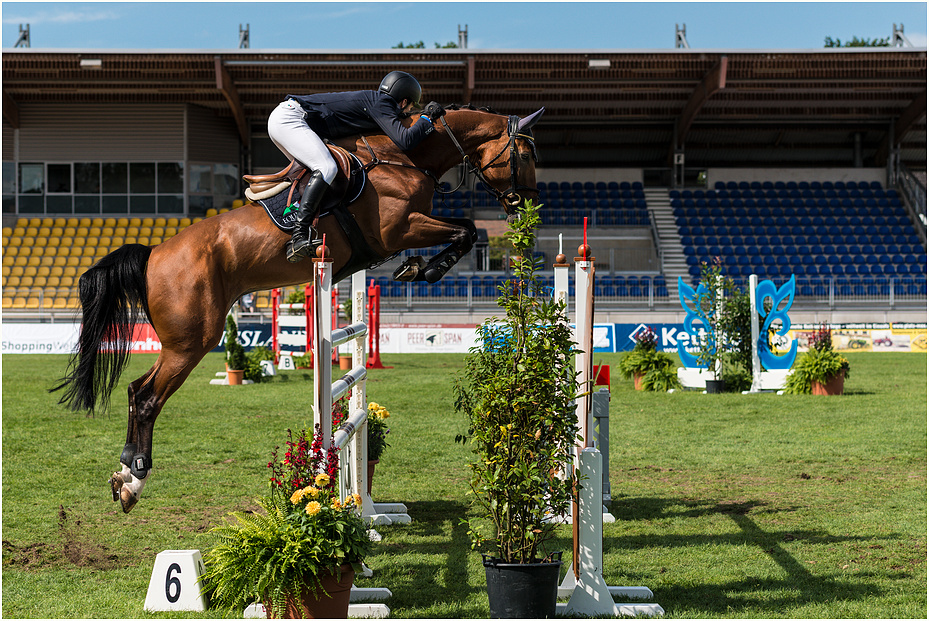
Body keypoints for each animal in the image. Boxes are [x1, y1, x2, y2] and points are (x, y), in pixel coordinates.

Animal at [52, 105, 544, 512]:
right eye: (523, 153)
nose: (525, 206)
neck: (405, 156)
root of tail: (154, 253)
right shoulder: (400, 228)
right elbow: (468, 230)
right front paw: (425, 268)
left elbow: (466, 228)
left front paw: (420, 267)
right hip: (192, 340)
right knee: (147, 397)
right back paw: (135, 477)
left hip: (184, 340)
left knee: (137, 391)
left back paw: (123, 476)